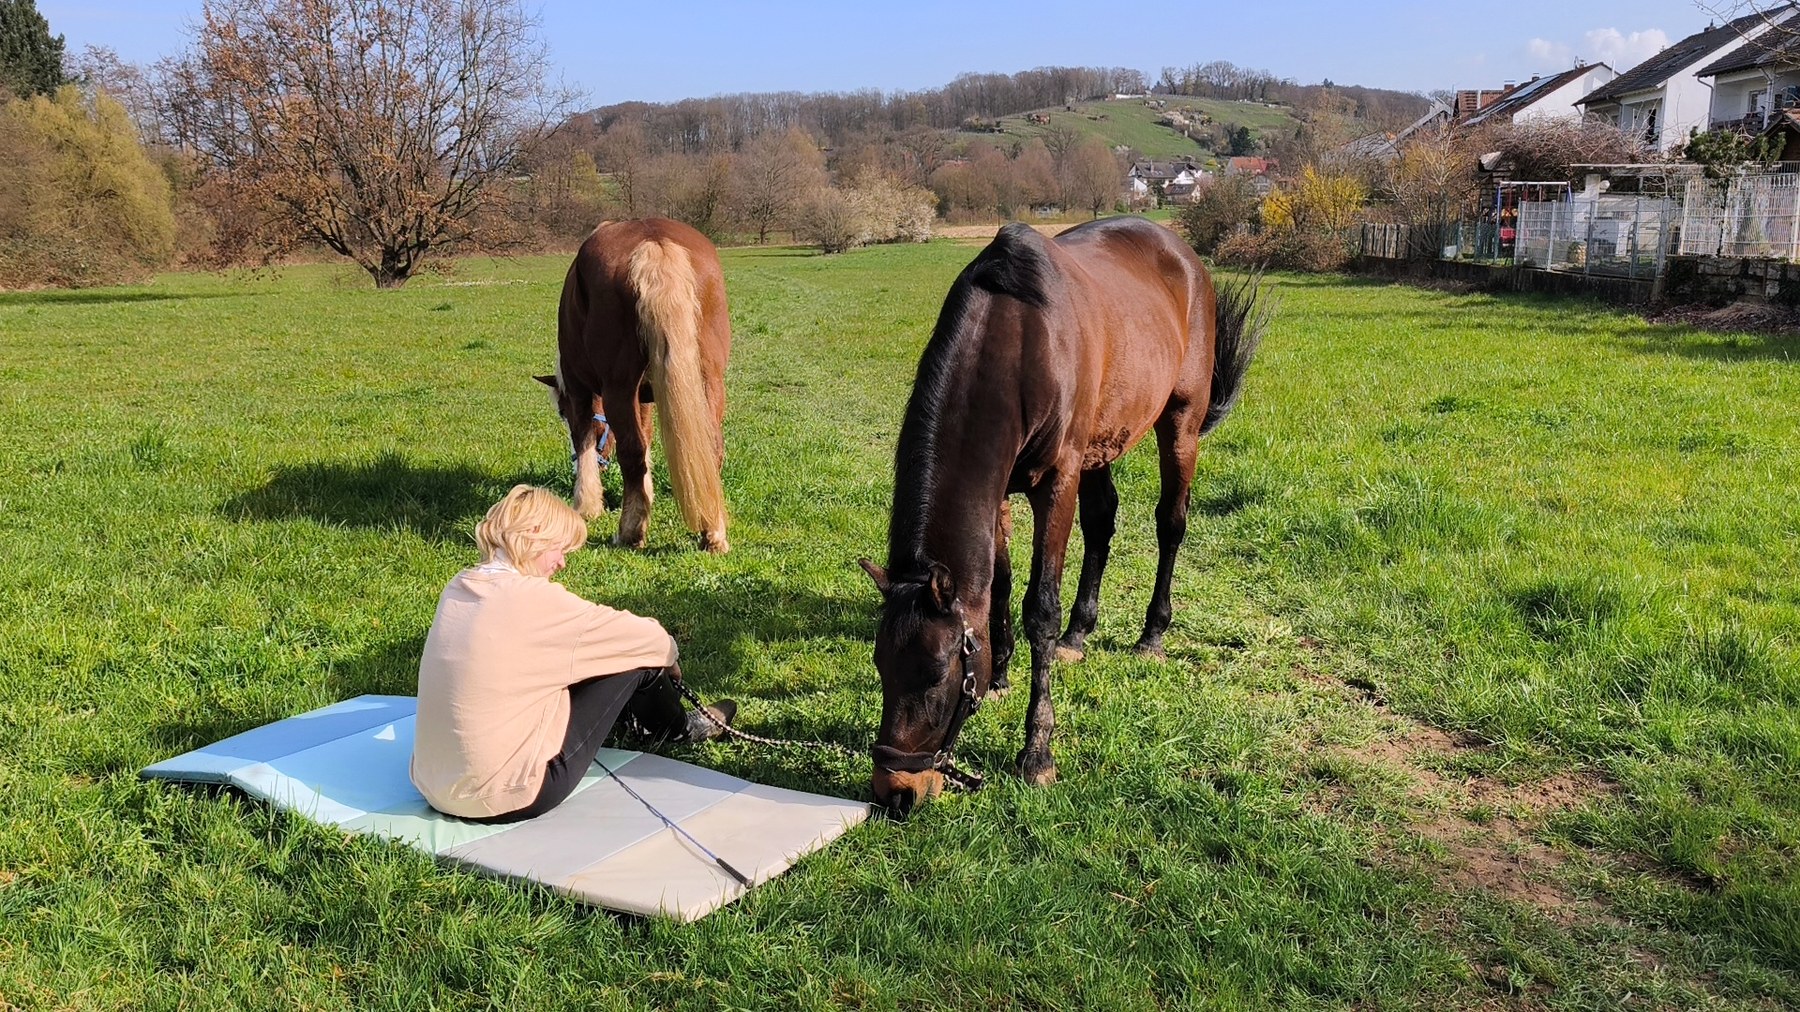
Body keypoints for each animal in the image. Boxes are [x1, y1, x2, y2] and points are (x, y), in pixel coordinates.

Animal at [536, 218, 732, 553]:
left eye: (561, 412)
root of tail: (654, 242)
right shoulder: (644, 397)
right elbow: (648, 436)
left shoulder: (578, 392)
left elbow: (585, 440)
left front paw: (586, 505)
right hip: (709, 381)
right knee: (711, 449)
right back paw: (713, 534)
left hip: (618, 388)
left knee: (631, 452)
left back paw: (629, 532)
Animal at [859, 218, 1269, 814]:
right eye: (880, 666)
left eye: (936, 675)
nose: (897, 793)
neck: (1017, 342)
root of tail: (1184, 256)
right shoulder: (1001, 492)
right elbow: (999, 589)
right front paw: (1001, 676)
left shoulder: (1057, 483)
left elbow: (1039, 609)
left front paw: (1037, 754)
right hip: (1103, 444)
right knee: (1102, 524)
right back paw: (1080, 633)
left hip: (1180, 424)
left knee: (1170, 524)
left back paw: (1152, 635)